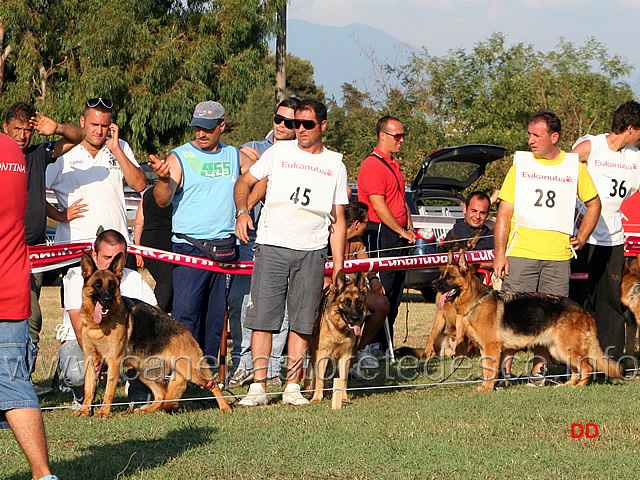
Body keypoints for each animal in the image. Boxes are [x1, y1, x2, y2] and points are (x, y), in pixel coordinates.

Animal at [73, 251, 232, 416]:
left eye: (112, 286)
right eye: (97, 285)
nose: (107, 300)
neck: (99, 326)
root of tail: (185, 330)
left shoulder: (113, 362)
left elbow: (108, 392)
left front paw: (103, 412)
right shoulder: (91, 360)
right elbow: (88, 389)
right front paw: (84, 410)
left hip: (190, 370)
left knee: (213, 384)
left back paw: (225, 407)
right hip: (144, 372)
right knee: (162, 395)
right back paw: (145, 410)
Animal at [306, 272, 368, 404]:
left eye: (359, 302)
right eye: (346, 302)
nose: (355, 318)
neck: (338, 329)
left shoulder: (345, 356)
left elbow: (343, 379)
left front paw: (343, 397)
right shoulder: (322, 353)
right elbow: (319, 378)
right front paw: (317, 398)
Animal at [432, 251, 624, 390]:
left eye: (449, 277)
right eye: (441, 275)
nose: (433, 285)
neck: (475, 300)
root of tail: (584, 311)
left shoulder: (491, 347)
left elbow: (490, 370)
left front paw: (487, 389)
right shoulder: (484, 348)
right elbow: (487, 370)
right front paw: (486, 387)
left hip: (566, 348)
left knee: (587, 368)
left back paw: (579, 387)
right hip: (559, 350)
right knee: (577, 370)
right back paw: (568, 385)